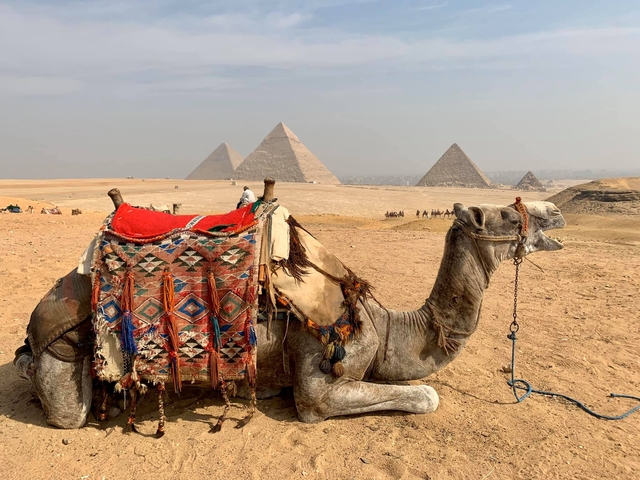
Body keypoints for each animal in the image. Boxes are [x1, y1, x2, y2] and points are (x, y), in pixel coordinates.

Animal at [15, 183, 566, 430]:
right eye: (502, 212)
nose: (554, 212)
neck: (388, 328)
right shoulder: (319, 380)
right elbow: (426, 396)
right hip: (65, 352)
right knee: (65, 409)